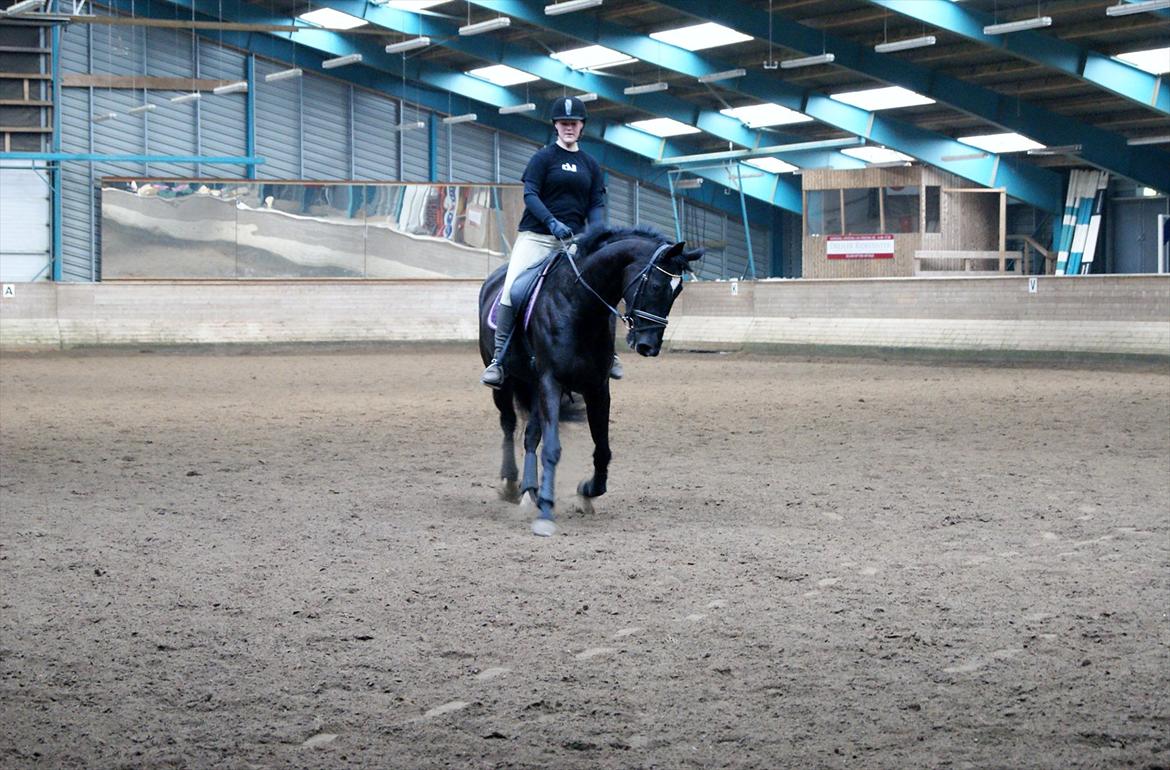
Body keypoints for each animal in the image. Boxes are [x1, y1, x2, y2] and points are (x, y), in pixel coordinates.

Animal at [477, 223, 702, 533]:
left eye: (677, 291)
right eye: (656, 285)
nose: (649, 346)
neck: (578, 306)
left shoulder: (597, 387)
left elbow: (603, 449)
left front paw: (586, 492)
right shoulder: (551, 381)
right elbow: (551, 448)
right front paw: (545, 513)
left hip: (534, 388)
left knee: (530, 434)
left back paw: (529, 490)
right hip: (506, 382)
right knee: (509, 424)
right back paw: (511, 483)